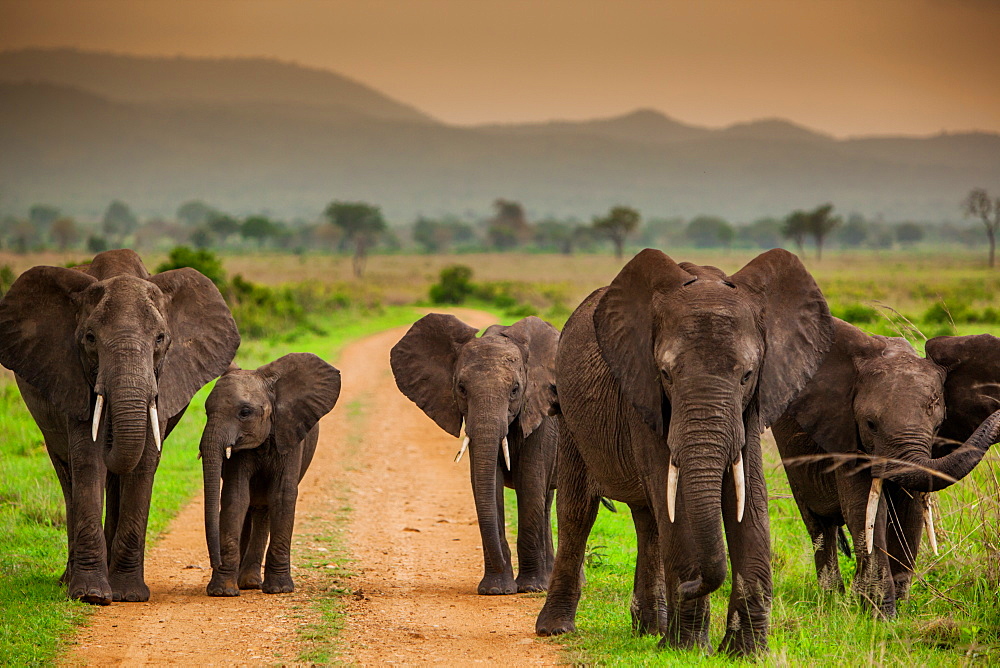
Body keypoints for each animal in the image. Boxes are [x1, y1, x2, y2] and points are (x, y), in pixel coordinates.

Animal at [0, 248, 240, 604]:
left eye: (160, 338)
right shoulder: (73, 374)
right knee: (67, 473)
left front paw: (128, 594)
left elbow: (144, 461)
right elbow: (88, 457)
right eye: (90, 338)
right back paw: (68, 581)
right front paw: (90, 595)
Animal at [201, 352, 342, 596]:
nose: (215, 562)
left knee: (263, 507)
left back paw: (249, 582)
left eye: (245, 412)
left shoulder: (290, 434)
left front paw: (279, 589)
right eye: (207, 410)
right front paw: (222, 591)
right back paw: (245, 583)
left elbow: (282, 496)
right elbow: (235, 496)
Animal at [390, 314, 564, 596]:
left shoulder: (540, 412)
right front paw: (496, 590)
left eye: (515, 389)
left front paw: (529, 588)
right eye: (461, 388)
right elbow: (488, 483)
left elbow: (530, 482)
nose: (502, 561)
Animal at [536, 248, 832, 656]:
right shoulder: (642, 392)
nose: (691, 585)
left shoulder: (753, 405)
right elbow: (676, 500)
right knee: (579, 510)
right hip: (569, 414)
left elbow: (749, 496)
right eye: (666, 374)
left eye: (747, 375)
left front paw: (745, 652)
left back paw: (650, 628)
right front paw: (688, 648)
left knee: (649, 523)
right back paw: (557, 628)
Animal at [772, 318, 1000, 616]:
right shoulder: (845, 434)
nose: (999, 419)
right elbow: (863, 511)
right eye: (870, 425)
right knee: (820, 525)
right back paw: (832, 600)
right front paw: (881, 615)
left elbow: (910, 513)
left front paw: (897, 609)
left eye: (938, 426)